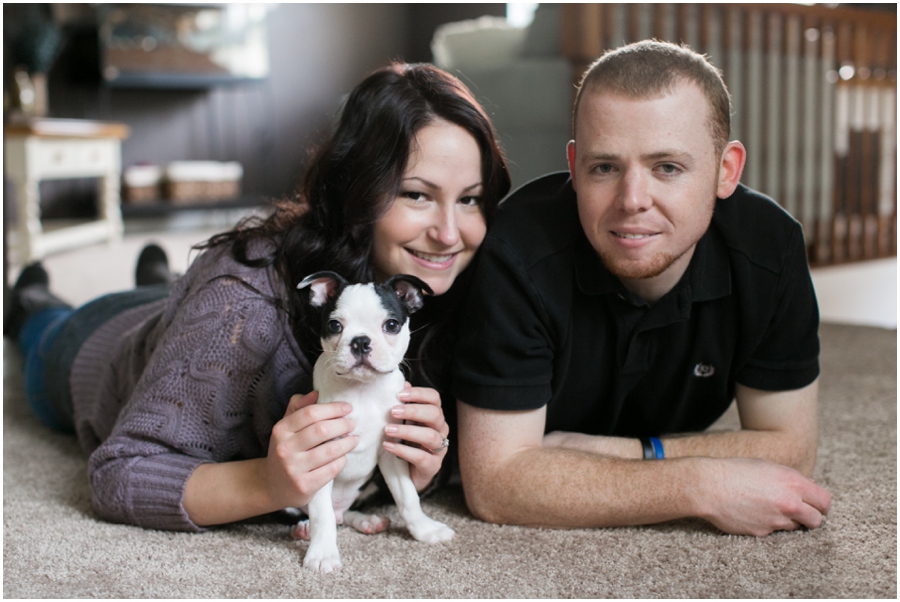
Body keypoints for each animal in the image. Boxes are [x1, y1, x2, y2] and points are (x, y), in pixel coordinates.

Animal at [292, 270, 454, 568]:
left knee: (346, 513)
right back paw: (303, 529)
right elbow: (321, 512)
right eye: (334, 325)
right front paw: (322, 553)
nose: (360, 341)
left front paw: (425, 530)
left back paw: (367, 521)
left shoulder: (392, 453)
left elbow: (408, 497)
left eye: (391, 325)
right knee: (322, 513)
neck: (362, 389)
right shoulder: (320, 455)